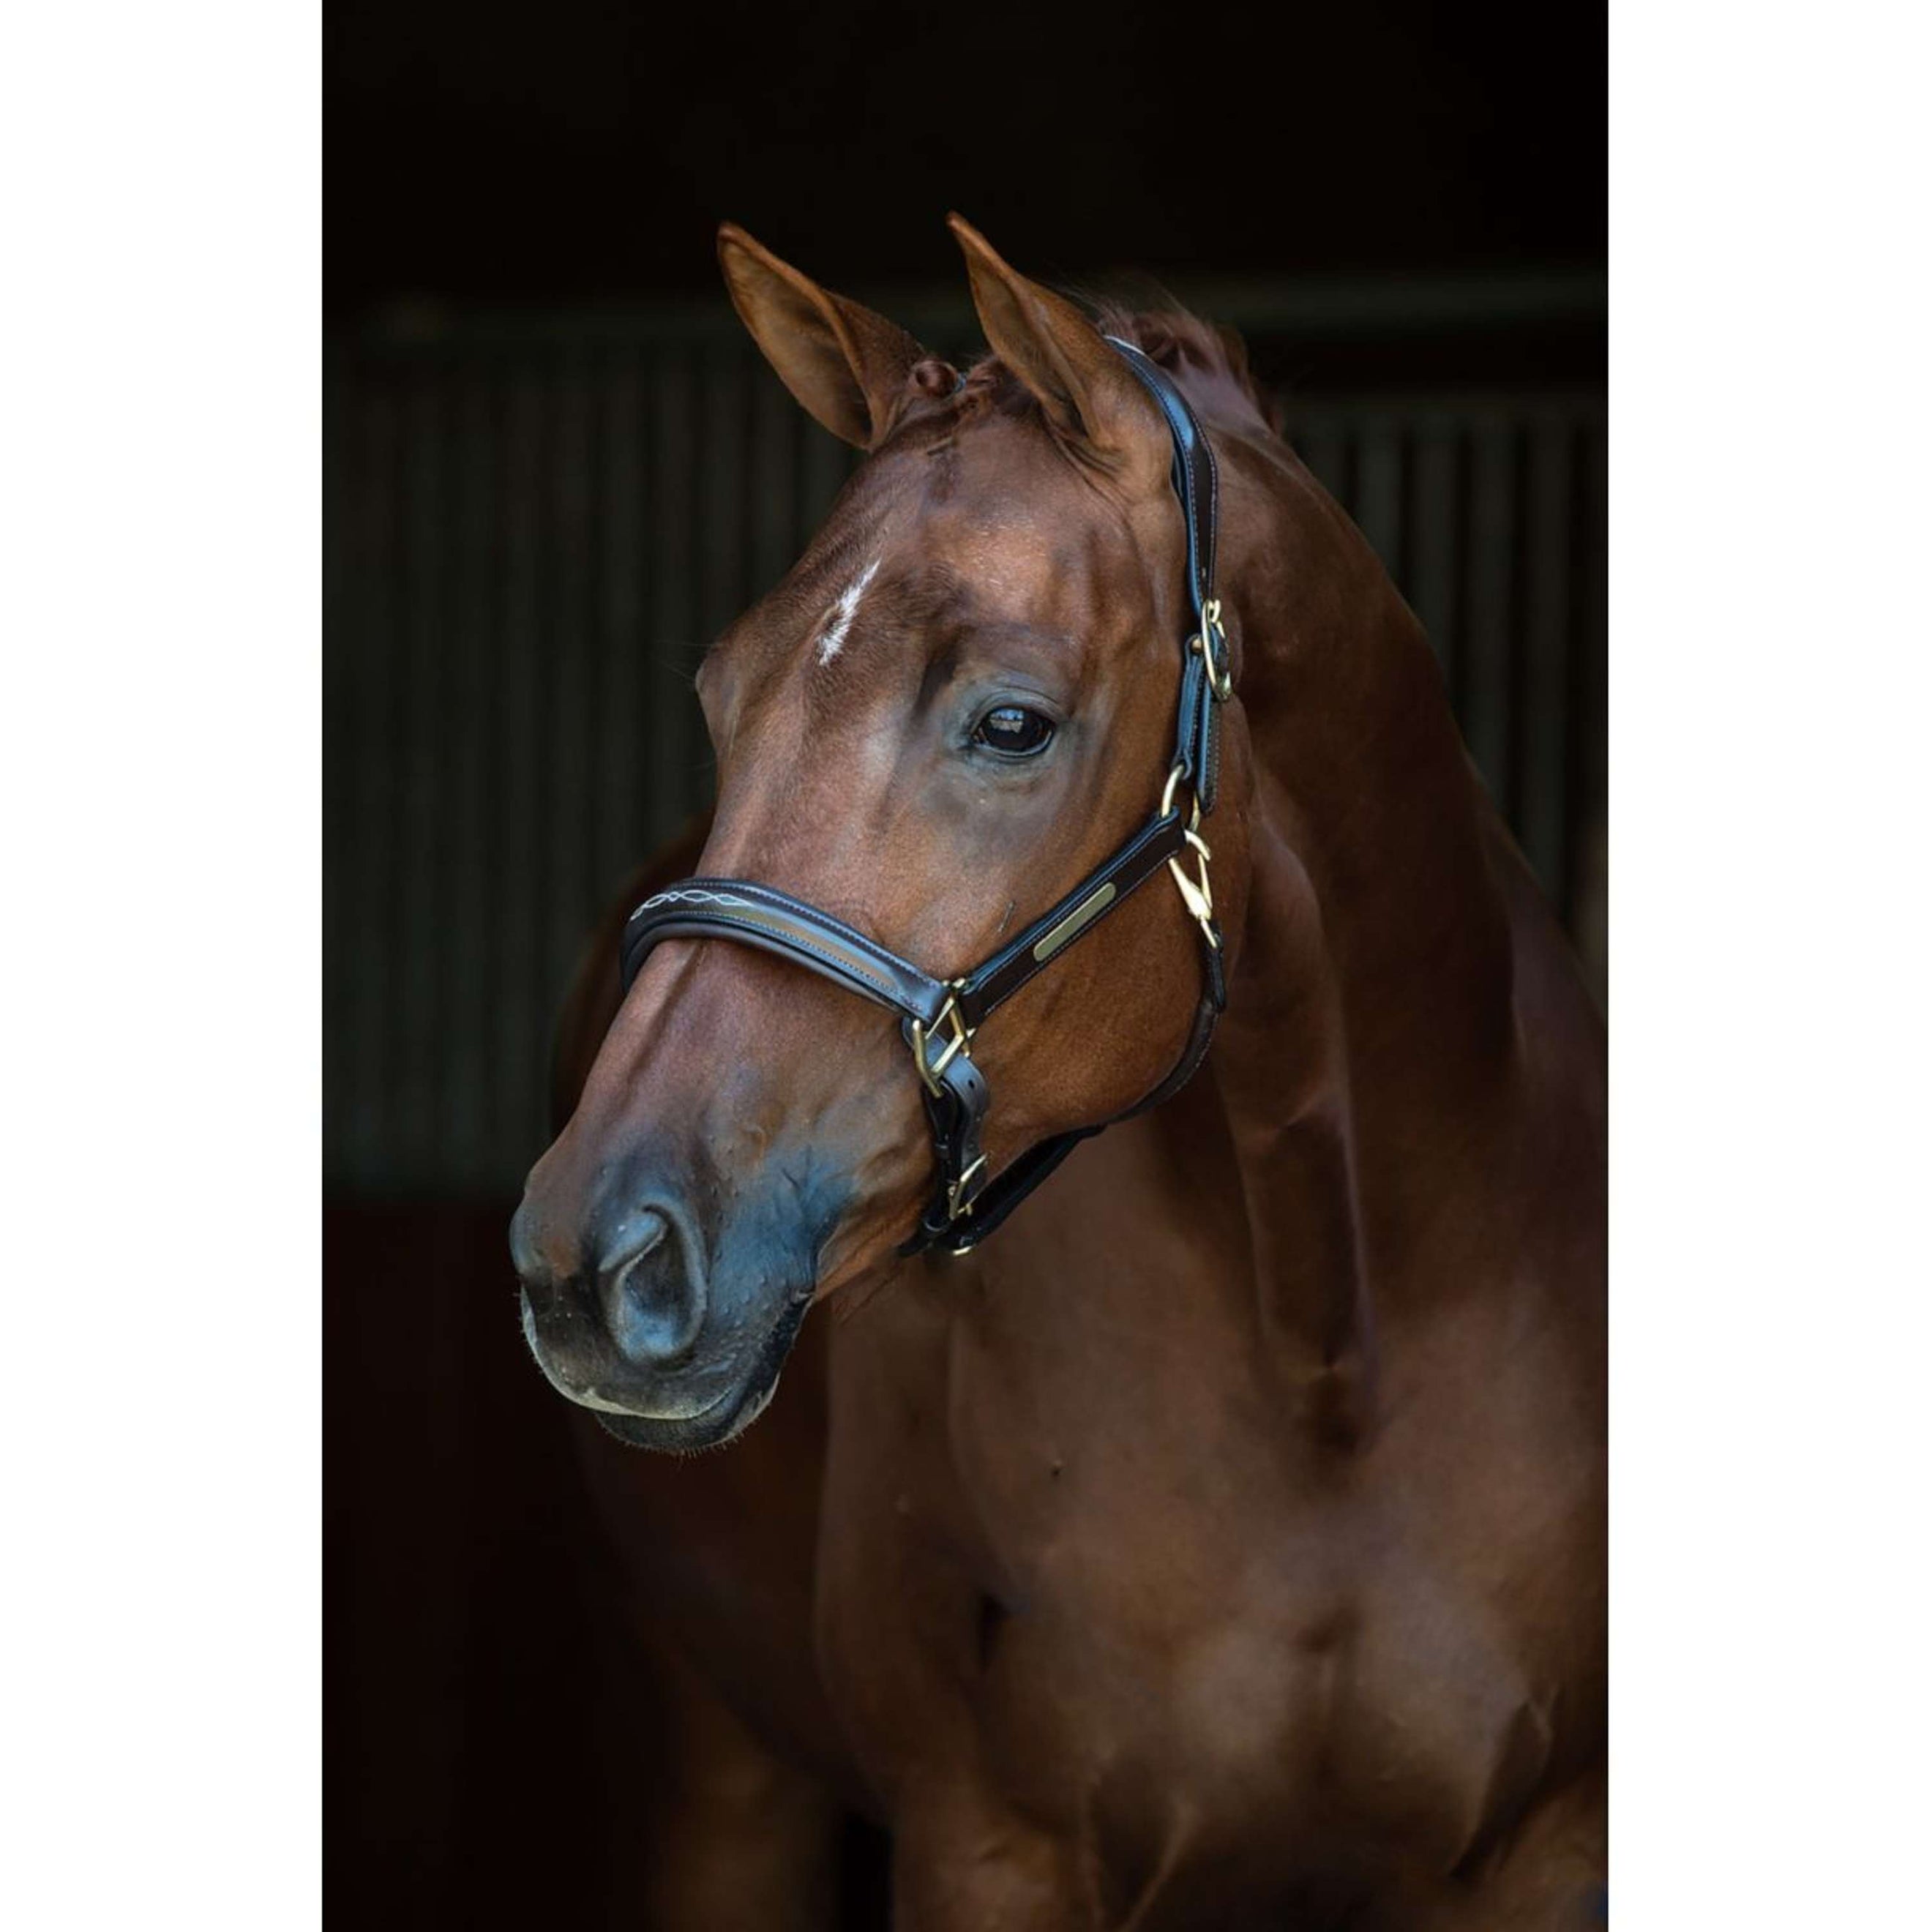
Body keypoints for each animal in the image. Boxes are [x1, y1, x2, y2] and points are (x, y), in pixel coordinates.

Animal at [511, 216, 1606, 1929]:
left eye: (1012, 722)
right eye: (720, 695)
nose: (590, 1255)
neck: (1338, 1361)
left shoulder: (1543, 1855)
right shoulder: (992, 1851)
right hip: (728, 1771)